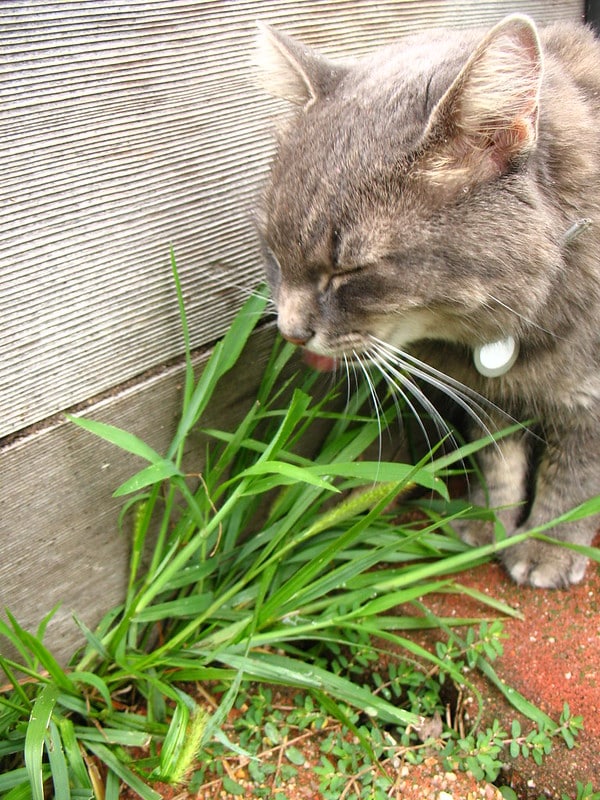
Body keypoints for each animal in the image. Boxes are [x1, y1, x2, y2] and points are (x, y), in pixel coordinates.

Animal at [253, 12, 600, 588]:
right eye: (274, 254)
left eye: (349, 270)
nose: (290, 331)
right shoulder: (488, 397)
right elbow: (498, 459)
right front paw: (487, 522)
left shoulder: (588, 405)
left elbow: (575, 475)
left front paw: (547, 547)